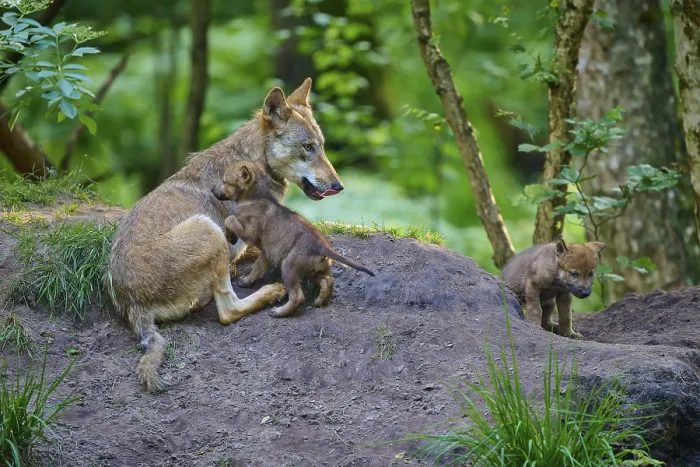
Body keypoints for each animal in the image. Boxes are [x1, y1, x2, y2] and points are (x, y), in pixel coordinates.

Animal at [105, 78, 344, 392]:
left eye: (323, 147)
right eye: (308, 147)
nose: (338, 186)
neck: (253, 162)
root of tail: (132, 303)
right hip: (208, 229)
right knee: (228, 311)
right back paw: (270, 292)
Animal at [213, 160, 374, 317]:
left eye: (225, 181)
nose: (212, 190)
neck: (256, 196)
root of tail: (322, 247)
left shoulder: (249, 233)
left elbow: (230, 219)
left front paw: (230, 237)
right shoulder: (266, 254)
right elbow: (257, 268)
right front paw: (246, 281)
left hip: (289, 267)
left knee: (298, 297)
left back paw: (279, 312)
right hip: (312, 271)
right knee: (328, 281)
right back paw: (320, 301)